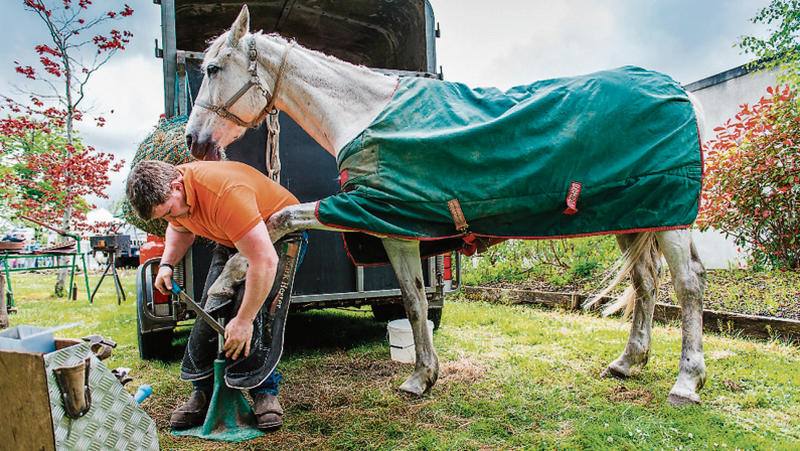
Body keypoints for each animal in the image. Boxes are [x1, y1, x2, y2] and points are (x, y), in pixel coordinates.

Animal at [186, 4, 708, 406]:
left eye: (213, 69)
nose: (194, 141)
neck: (361, 115)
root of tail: (678, 91)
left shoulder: (363, 207)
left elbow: (279, 217)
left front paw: (224, 283)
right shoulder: (395, 230)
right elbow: (415, 301)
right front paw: (422, 377)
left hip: (668, 220)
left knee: (688, 285)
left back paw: (686, 382)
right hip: (635, 216)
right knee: (646, 283)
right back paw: (627, 362)